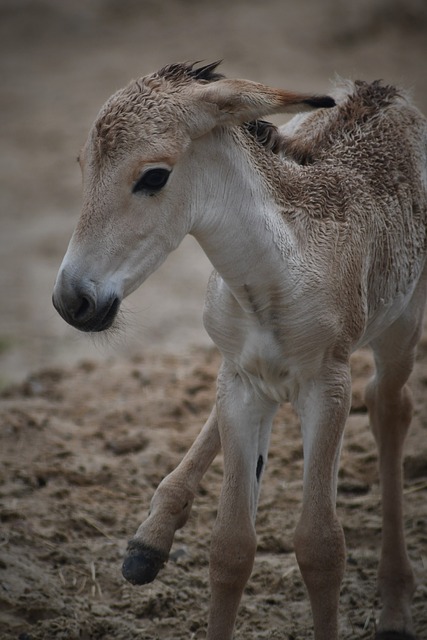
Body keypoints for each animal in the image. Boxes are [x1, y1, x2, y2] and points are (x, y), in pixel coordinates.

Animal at [53, 61, 427, 640]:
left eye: (153, 176)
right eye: (82, 165)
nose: (72, 300)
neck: (272, 276)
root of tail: (382, 89)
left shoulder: (328, 387)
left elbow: (321, 546)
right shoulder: (240, 382)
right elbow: (230, 547)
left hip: (400, 328)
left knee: (391, 407)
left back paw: (394, 609)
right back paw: (150, 540)